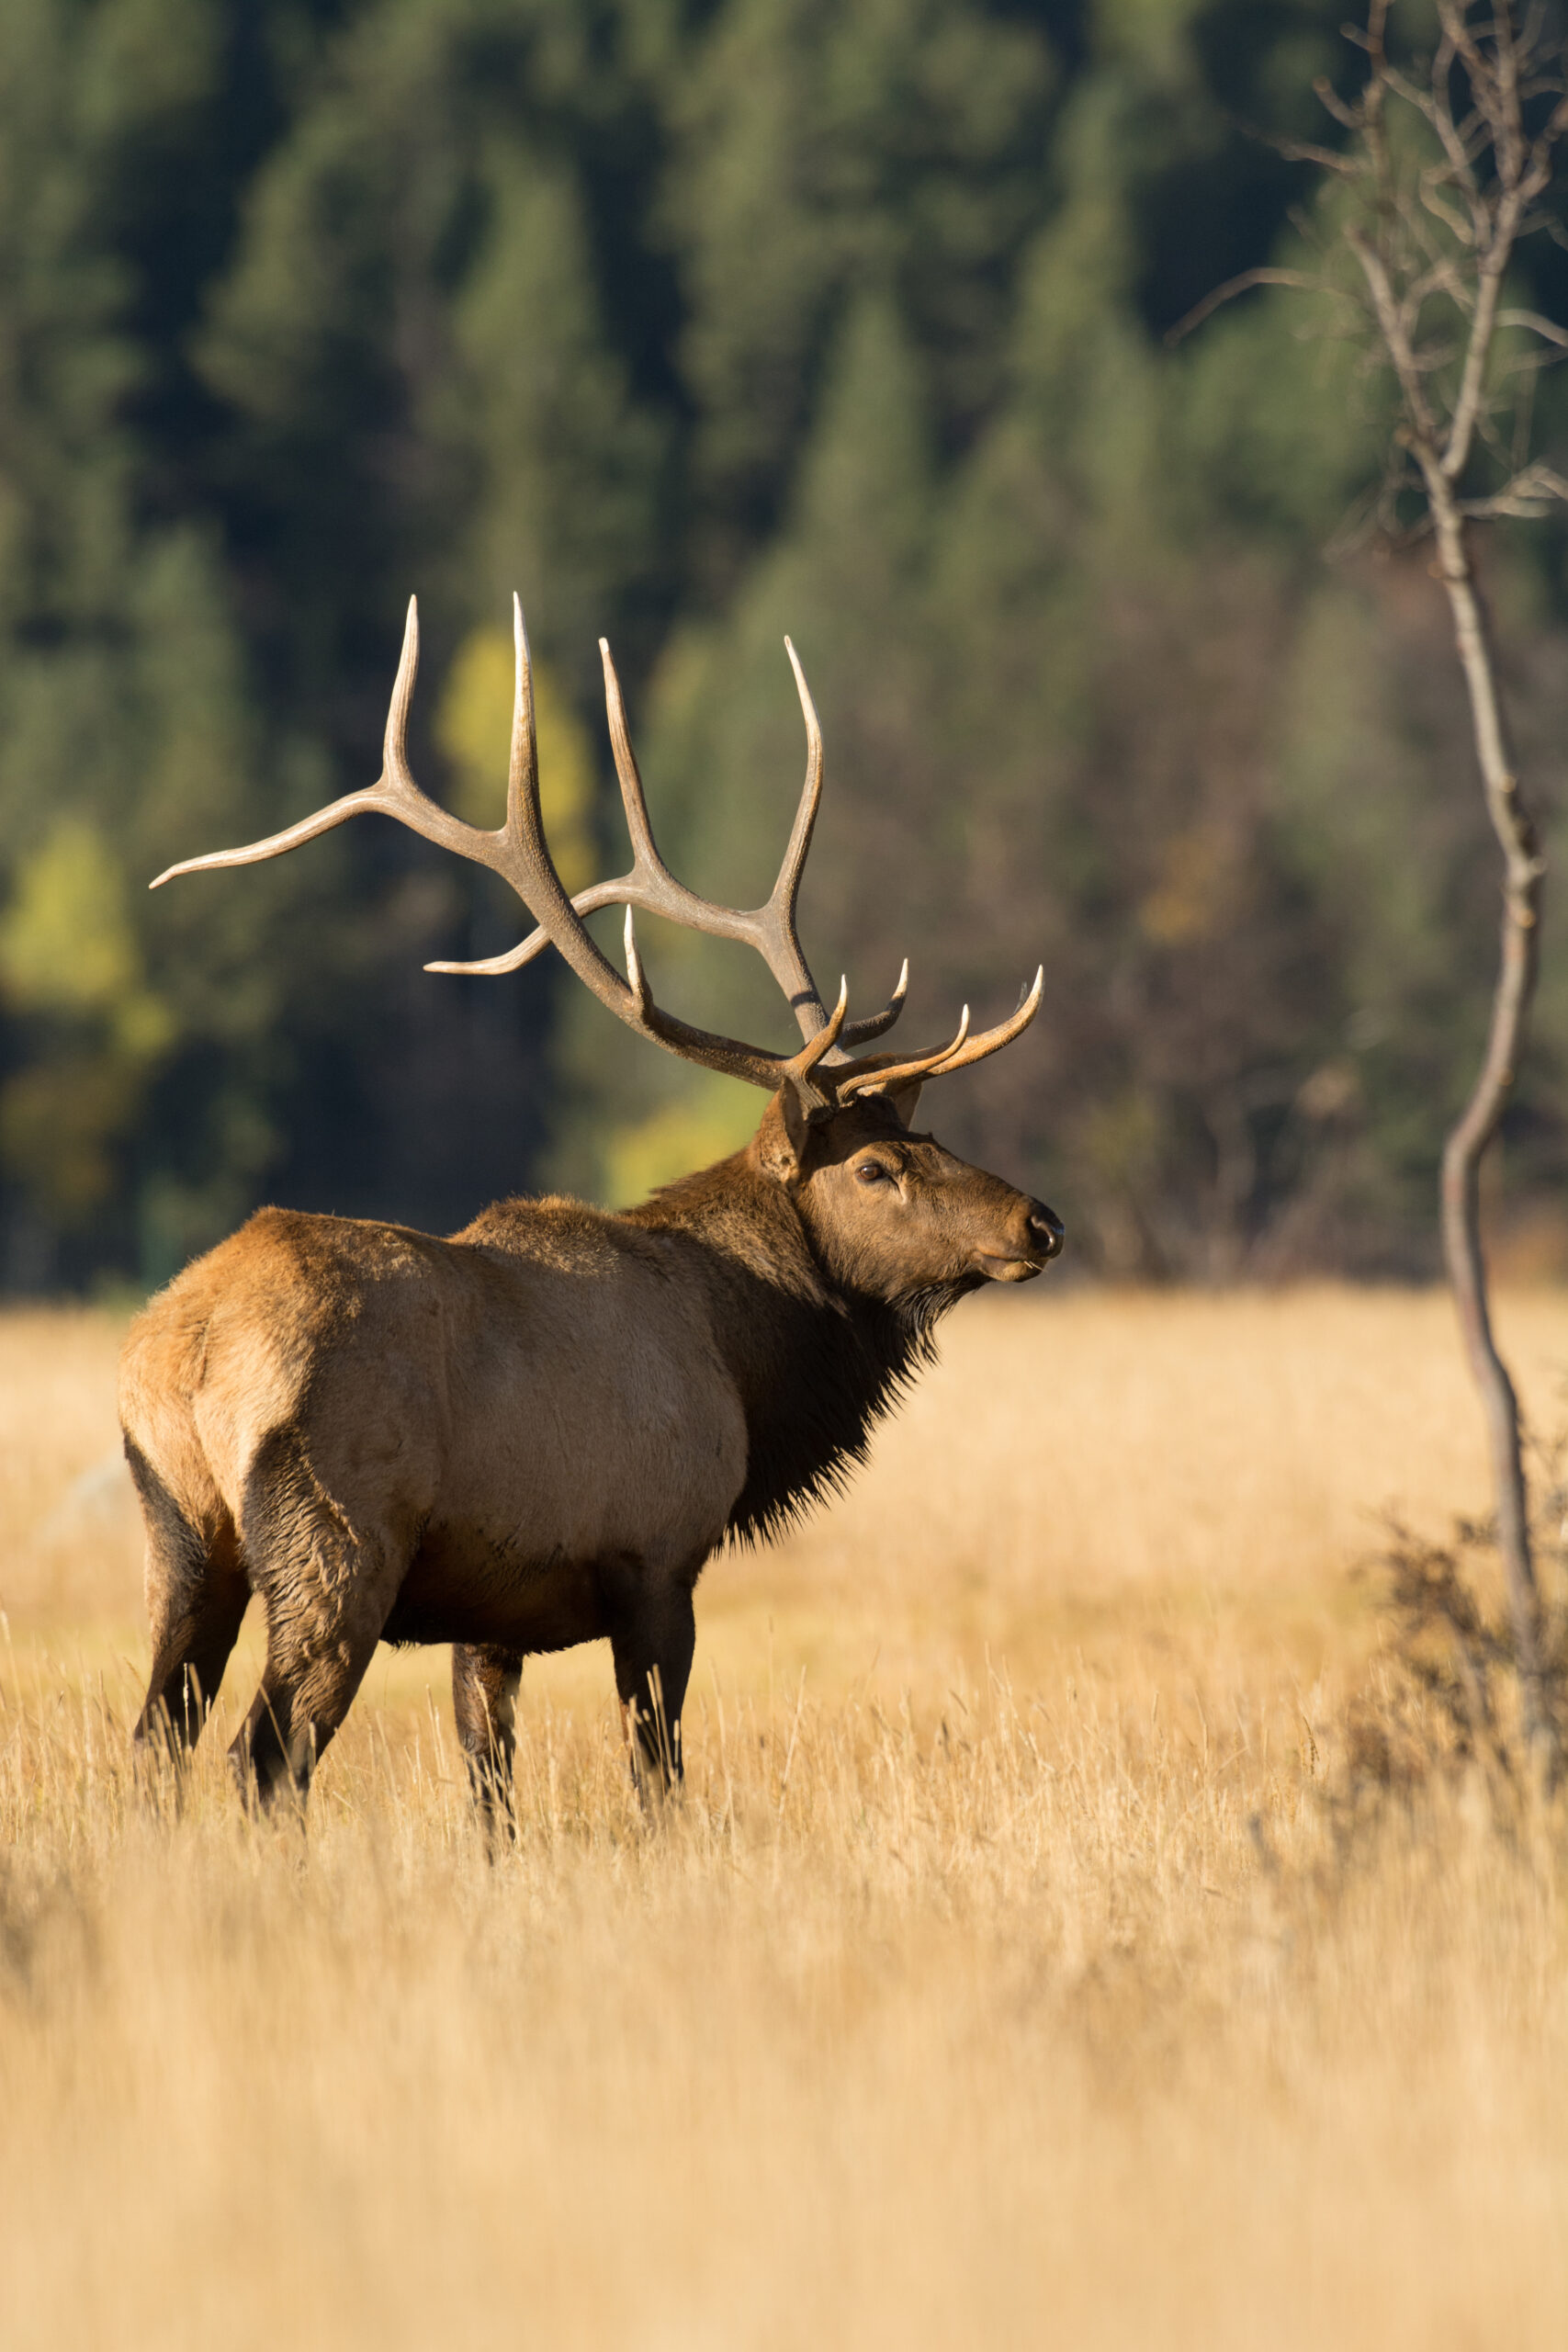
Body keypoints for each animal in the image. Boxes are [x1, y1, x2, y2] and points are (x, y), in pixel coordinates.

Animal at [116, 606, 1062, 1815]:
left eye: (930, 1138)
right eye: (877, 1168)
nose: (1040, 1223)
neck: (742, 1353)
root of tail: (182, 1350)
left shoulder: (487, 1614)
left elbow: (491, 1791)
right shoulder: (655, 1556)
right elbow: (655, 1773)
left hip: (182, 1539)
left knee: (157, 1741)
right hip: (338, 1537)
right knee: (267, 1753)